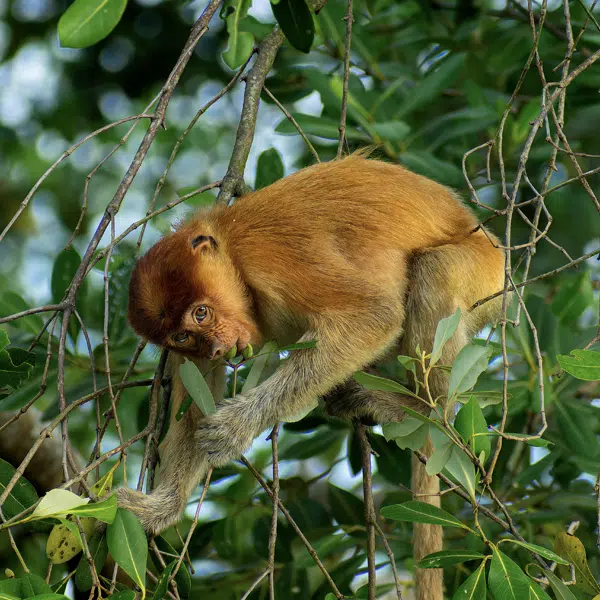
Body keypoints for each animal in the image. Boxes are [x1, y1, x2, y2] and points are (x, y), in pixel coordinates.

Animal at [119, 154, 505, 600]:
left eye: (201, 312)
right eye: (183, 336)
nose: (216, 348)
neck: (231, 249)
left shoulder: (272, 259)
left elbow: (373, 315)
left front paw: (235, 427)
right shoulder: (185, 356)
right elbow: (193, 412)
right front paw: (159, 508)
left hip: (482, 274)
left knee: (433, 269)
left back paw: (422, 408)